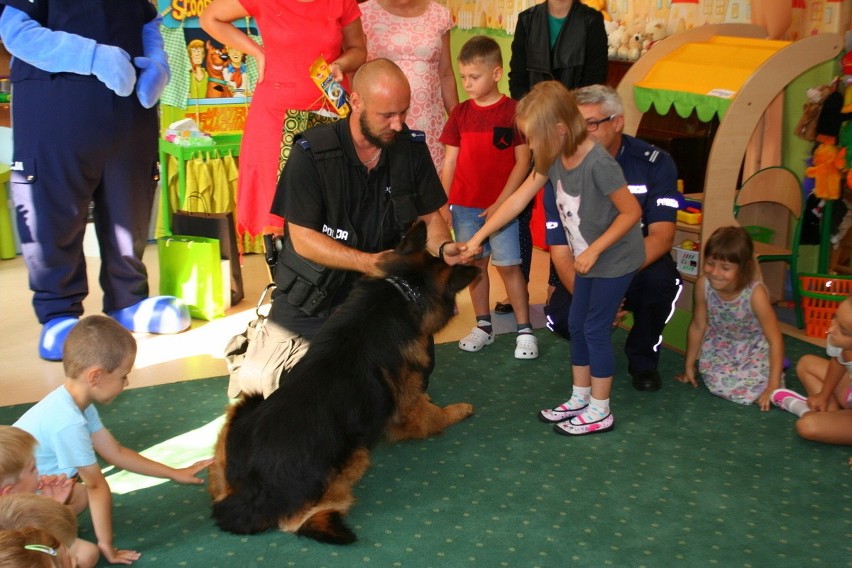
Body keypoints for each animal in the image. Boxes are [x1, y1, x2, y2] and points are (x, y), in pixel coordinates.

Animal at [208, 220, 480, 544]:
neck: (404, 290)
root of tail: (251, 488)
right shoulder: (406, 403)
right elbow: (433, 417)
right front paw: (458, 410)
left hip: (246, 406)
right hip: (356, 452)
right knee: (295, 520)